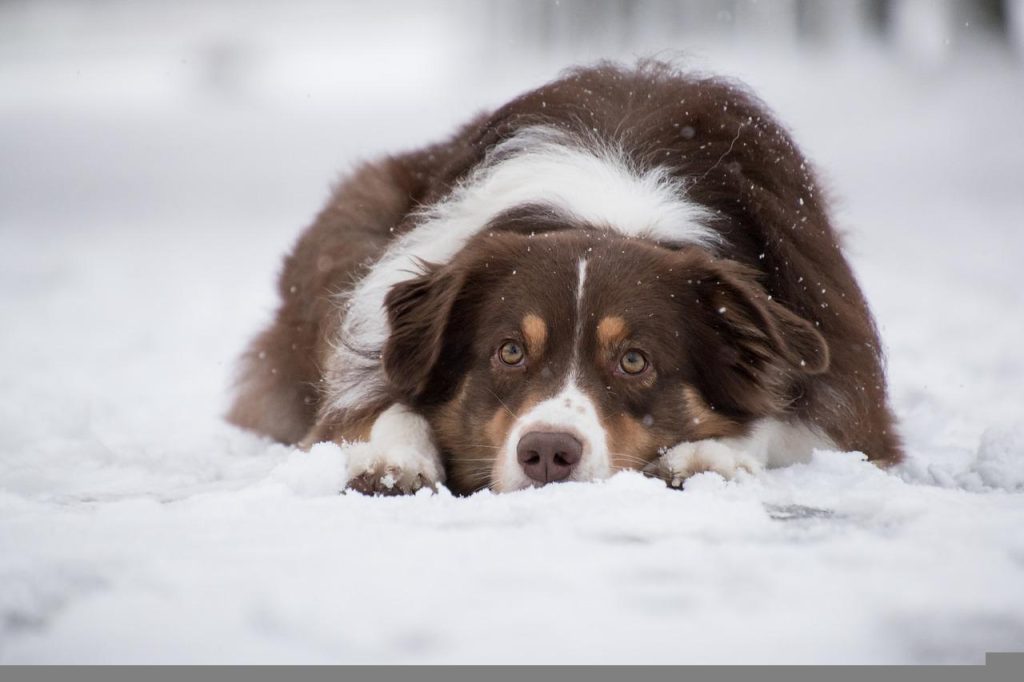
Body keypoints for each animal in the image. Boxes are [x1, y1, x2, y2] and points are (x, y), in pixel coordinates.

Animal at [228, 59, 901, 493]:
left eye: (634, 361)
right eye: (508, 352)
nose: (548, 453)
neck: (610, 209)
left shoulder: (846, 384)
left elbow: (788, 419)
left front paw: (711, 454)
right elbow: (378, 404)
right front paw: (393, 457)